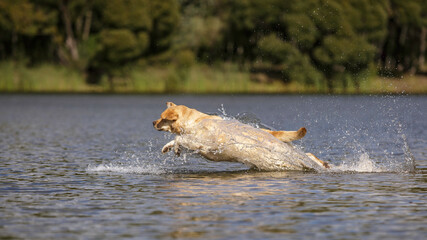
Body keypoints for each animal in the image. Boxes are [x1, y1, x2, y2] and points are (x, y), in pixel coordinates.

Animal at [155, 102, 332, 172]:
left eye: (162, 118)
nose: (152, 122)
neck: (193, 121)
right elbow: (176, 139)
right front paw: (167, 147)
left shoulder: (202, 143)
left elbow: (180, 139)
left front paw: (175, 147)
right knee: (308, 155)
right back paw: (324, 164)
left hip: (277, 158)